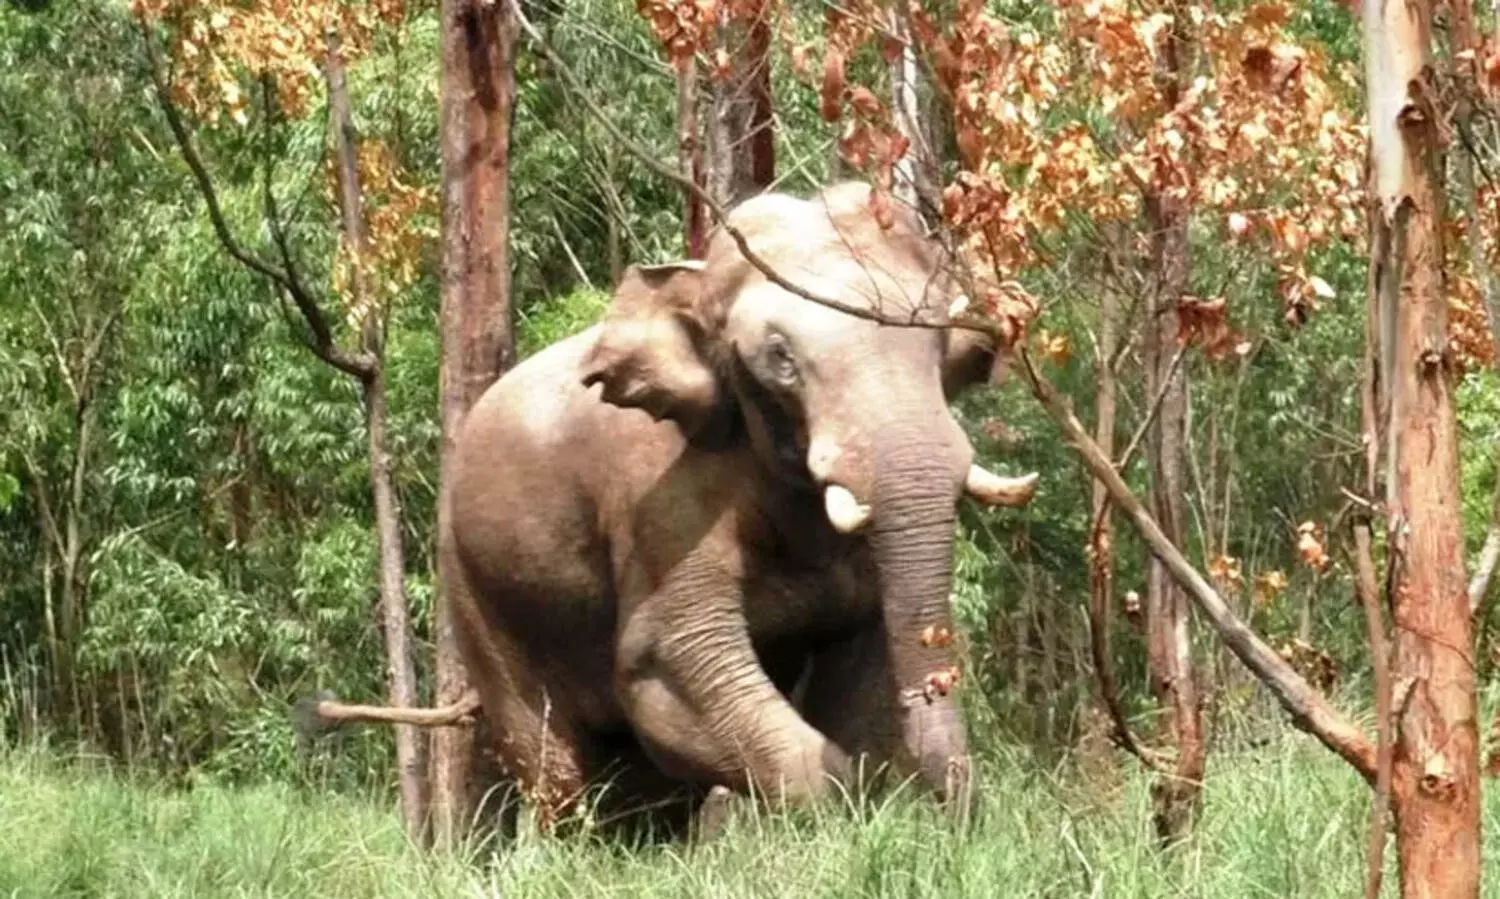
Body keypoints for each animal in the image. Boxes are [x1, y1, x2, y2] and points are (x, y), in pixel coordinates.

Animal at [307, 181, 1037, 830]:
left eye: (941, 343)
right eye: (780, 357)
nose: (963, 817)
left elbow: (860, 648)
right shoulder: (660, 499)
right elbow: (665, 658)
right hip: (475, 591)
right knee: (552, 761)